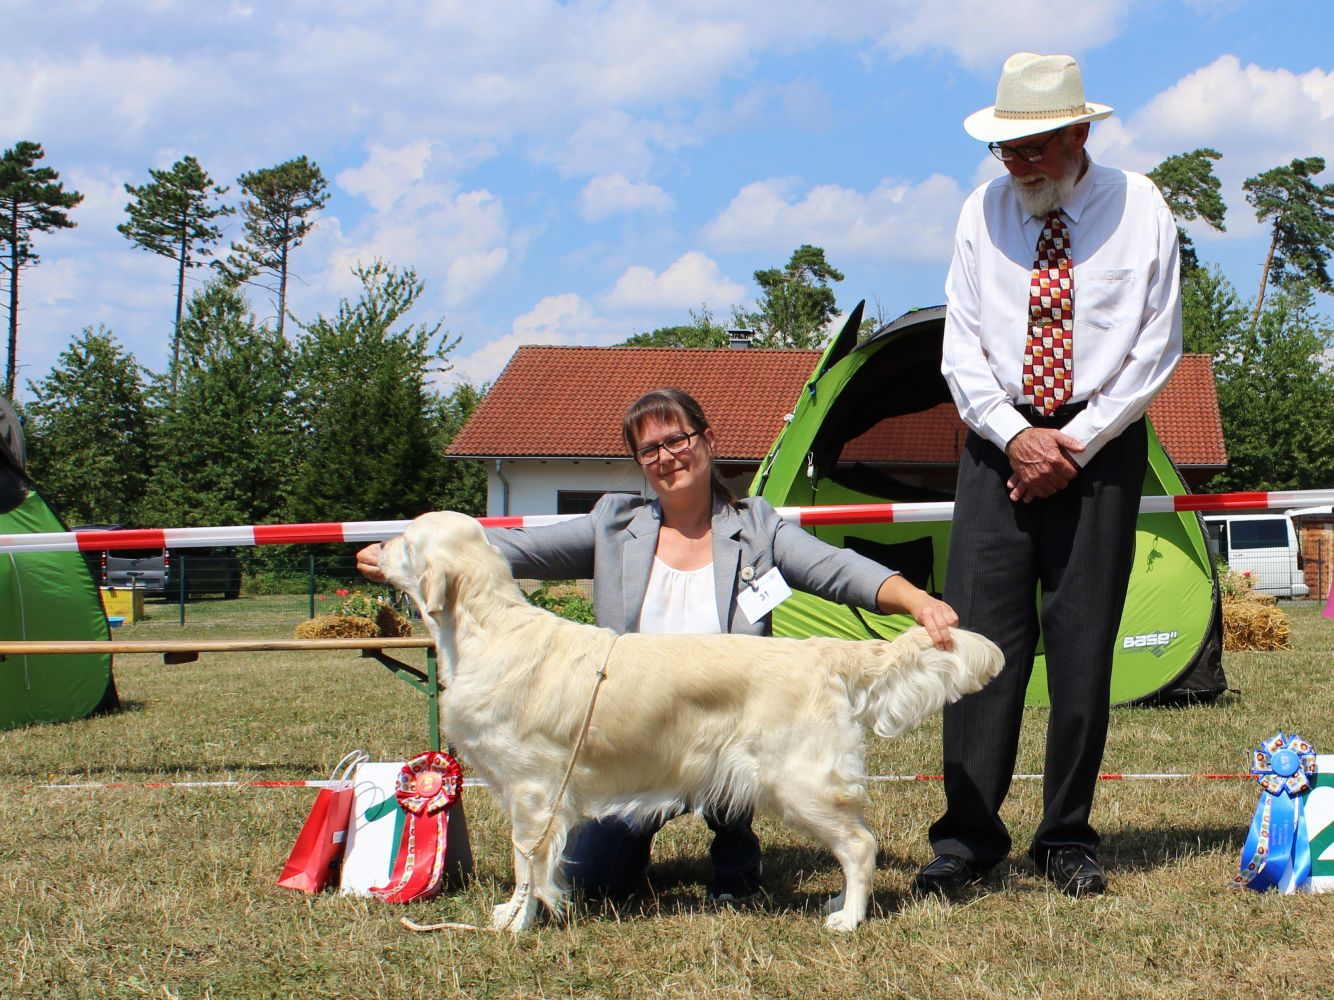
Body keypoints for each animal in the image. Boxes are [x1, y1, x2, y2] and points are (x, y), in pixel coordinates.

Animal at [378, 512, 1003, 938]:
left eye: (405, 541)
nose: (372, 547)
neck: (487, 630)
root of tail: (822, 651)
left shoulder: (534, 792)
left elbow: (526, 863)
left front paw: (520, 924)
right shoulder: (521, 791)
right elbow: (522, 866)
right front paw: (509, 913)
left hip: (799, 783)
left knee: (859, 844)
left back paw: (848, 917)